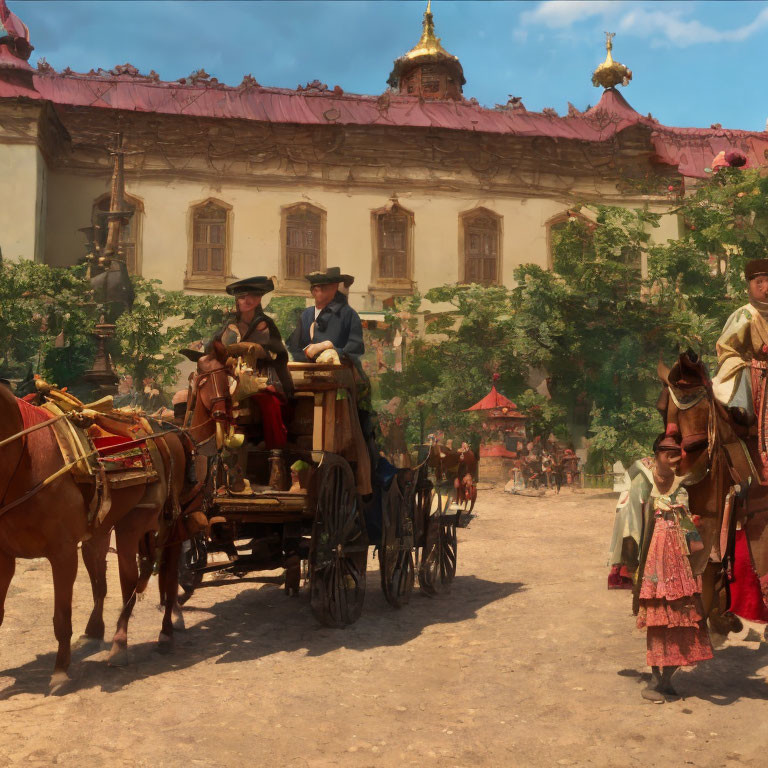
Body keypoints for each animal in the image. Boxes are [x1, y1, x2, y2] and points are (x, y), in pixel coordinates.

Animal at [0, 384, 188, 688]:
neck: (27, 464)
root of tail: (164, 431)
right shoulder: (4, 556)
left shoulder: (63, 554)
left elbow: (62, 617)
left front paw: (60, 672)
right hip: (101, 533)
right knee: (105, 582)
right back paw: (95, 633)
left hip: (140, 527)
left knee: (144, 581)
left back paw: (130, 643)